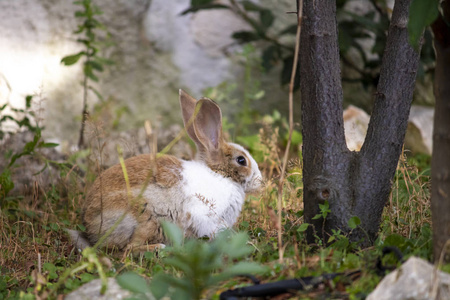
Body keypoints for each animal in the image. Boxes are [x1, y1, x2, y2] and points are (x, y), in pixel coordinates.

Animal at [68, 89, 262, 253]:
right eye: (241, 160)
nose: (260, 182)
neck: (220, 174)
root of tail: (91, 226)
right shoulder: (205, 216)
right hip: (148, 218)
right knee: (129, 249)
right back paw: (158, 248)